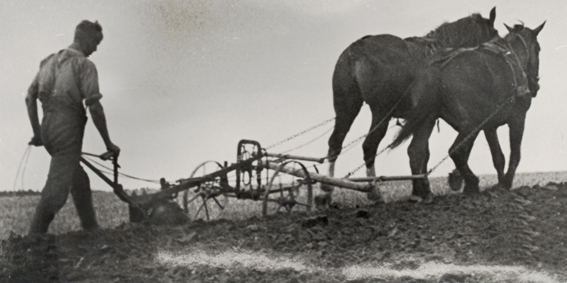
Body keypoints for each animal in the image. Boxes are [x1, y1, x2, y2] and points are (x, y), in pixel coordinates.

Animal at [326, 6, 500, 199]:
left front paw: (423, 188)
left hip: (346, 108)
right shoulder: (431, 116)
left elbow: (422, 152)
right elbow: (425, 150)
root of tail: (357, 49)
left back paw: (326, 192)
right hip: (381, 111)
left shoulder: (422, 118)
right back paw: (374, 191)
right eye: (495, 34)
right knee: (369, 146)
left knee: (335, 144)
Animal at [390, 22, 544, 200]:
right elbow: (515, 153)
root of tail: (438, 66)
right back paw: (472, 183)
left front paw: (498, 185)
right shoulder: (517, 118)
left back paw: (420, 192)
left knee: (416, 151)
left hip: (428, 120)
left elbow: (498, 157)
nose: (535, 86)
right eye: (538, 49)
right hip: (470, 123)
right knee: (456, 151)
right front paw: (506, 183)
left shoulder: (489, 126)